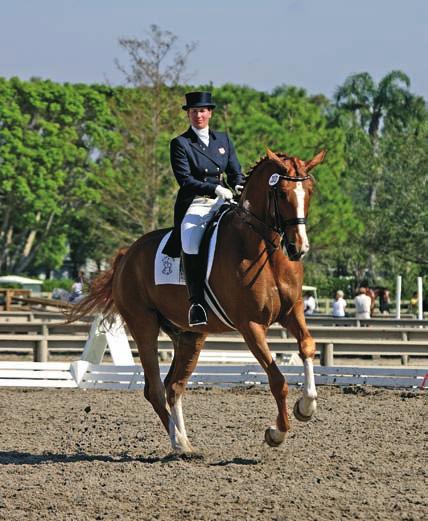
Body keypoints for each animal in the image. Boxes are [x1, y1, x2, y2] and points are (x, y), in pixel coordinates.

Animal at [72, 149, 324, 450]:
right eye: (283, 193)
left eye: (309, 191)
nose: (299, 248)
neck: (264, 250)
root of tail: (126, 255)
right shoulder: (250, 326)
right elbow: (277, 380)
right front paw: (277, 432)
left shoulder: (292, 311)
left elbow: (307, 346)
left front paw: (306, 407)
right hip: (144, 326)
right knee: (155, 389)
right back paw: (180, 444)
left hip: (190, 336)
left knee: (173, 386)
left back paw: (185, 443)